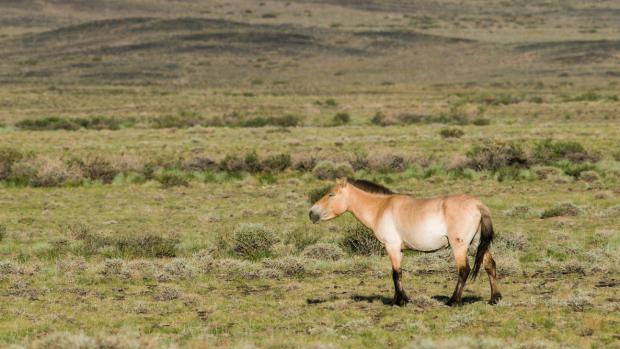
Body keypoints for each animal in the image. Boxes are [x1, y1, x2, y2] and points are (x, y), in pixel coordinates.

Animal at [308, 178, 502, 306]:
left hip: (460, 246)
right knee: (490, 265)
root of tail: (478, 205)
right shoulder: (399, 249)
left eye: (331, 194)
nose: (311, 213)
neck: (381, 208)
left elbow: (395, 273)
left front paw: (399, 301)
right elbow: (398, 273)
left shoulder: (391, 246)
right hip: (477, 244)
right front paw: (401, 299)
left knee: (464, 270)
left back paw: (453, 301)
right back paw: (494, 299)